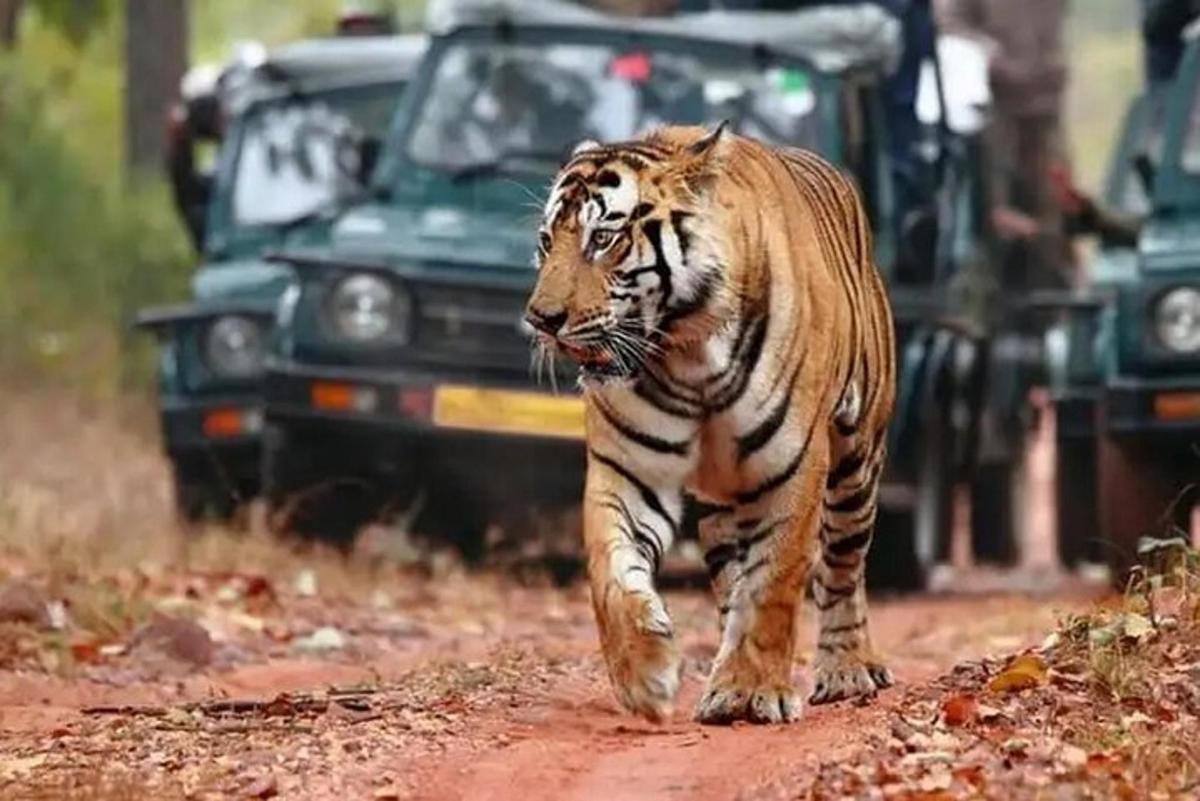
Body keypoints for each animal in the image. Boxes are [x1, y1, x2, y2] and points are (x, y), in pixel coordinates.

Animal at [525, 120, 892, 724]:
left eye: (602, 239)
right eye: (545, 241)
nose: (540, 319)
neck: (687, 351)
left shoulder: (794, 466)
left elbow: (775, 582)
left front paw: (756, 689)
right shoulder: (627, 470)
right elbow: (611, 572)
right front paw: (645, 676)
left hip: (856, 462)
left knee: (843, 567)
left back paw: (847, 670)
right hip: (726, 502)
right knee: (731, 577)